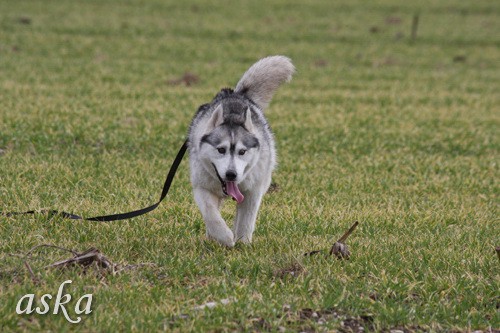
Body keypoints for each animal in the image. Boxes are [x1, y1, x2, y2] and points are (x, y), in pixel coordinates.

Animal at [189, 55, 294, 246]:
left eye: (242, 152)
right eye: (221, 150)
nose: (231, 174)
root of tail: (236, 94)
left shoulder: (253, 191)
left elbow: (246, 218)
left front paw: (243, 243)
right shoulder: (202, 187)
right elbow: (211, 214)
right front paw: (224, 236)